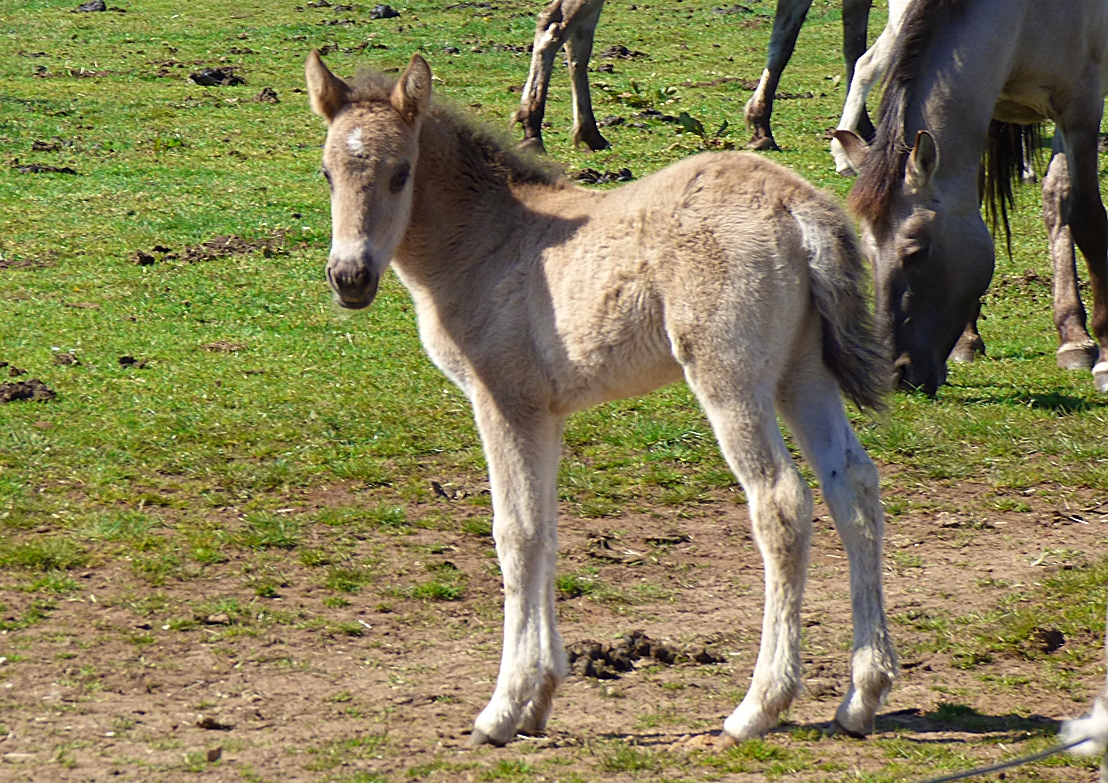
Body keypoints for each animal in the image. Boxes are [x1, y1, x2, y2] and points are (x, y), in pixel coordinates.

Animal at [308, 49, 895, 748]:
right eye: (327, 172)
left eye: (401, 174)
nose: (350, 277)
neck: (485, 241)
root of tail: (797, 205)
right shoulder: (544, 413)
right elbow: (546, 530)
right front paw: (539, 698)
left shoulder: (502, 400)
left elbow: (515, 534)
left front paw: (501, 710)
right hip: (801, 374)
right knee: (852, 485)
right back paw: (862, 696)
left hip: (731, 378)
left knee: (780, 501)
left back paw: (758, 706)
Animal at [511, 0, 881, 155]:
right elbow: (853, 46)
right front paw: (863, 127)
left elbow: (783, 43)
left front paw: (759, 125)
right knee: (555, 25)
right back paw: (532, 129)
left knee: (577, 38)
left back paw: (590, 134)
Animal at [833, 0, 1108, 392]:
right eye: (867, 254)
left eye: (917, 252)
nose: (895, 375)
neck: (1027, 16)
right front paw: (966, 340)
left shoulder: (1081, 112)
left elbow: (1087, 221)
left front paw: (1104, 356)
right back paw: (1071, 333)